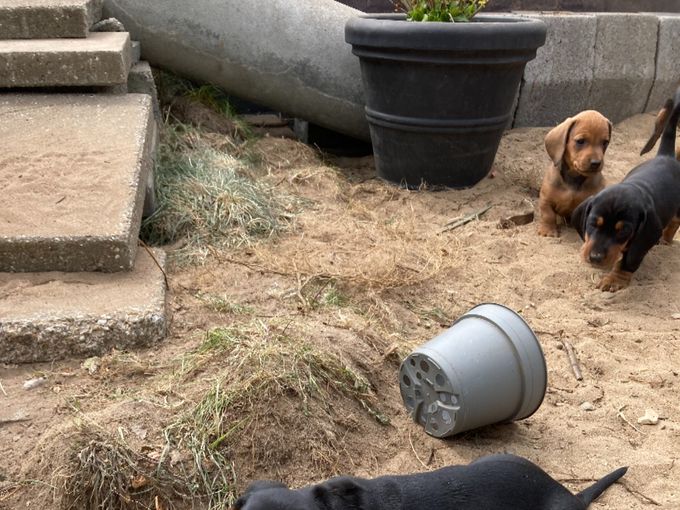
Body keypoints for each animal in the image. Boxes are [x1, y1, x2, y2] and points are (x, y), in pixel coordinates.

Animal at [540, 109, 612, 237]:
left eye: (605, 142)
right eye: (580, 141)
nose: (596, 163)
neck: (574, 177)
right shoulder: (546, 200)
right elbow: (548, 215)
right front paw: (548, 231)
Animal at [572, 87, 680, 290]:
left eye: (623, 231)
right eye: (593, 223)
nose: (595, 258)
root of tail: (666, 156)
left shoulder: (641, 240)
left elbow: (628, 261)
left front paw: (615, 279)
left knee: (675, 222)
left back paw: (666, 239)